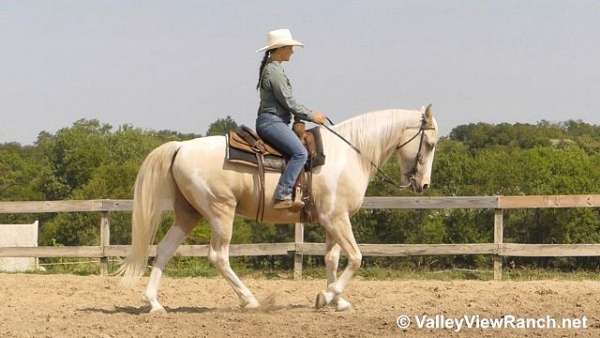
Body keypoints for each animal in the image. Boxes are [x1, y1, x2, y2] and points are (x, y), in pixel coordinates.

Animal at [116, 104, 436, 312]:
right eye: (430, 143)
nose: (423, 185)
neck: (350, 154)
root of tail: (181, 146)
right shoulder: (336, 219)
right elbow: (356, 257)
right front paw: (327, 295)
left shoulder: (333, 220)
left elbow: (332, 259)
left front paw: (337, 301)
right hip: (221, 212)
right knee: (218, 256)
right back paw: (250, 300)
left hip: (189, 214)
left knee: (164, 250)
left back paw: (154, 303)